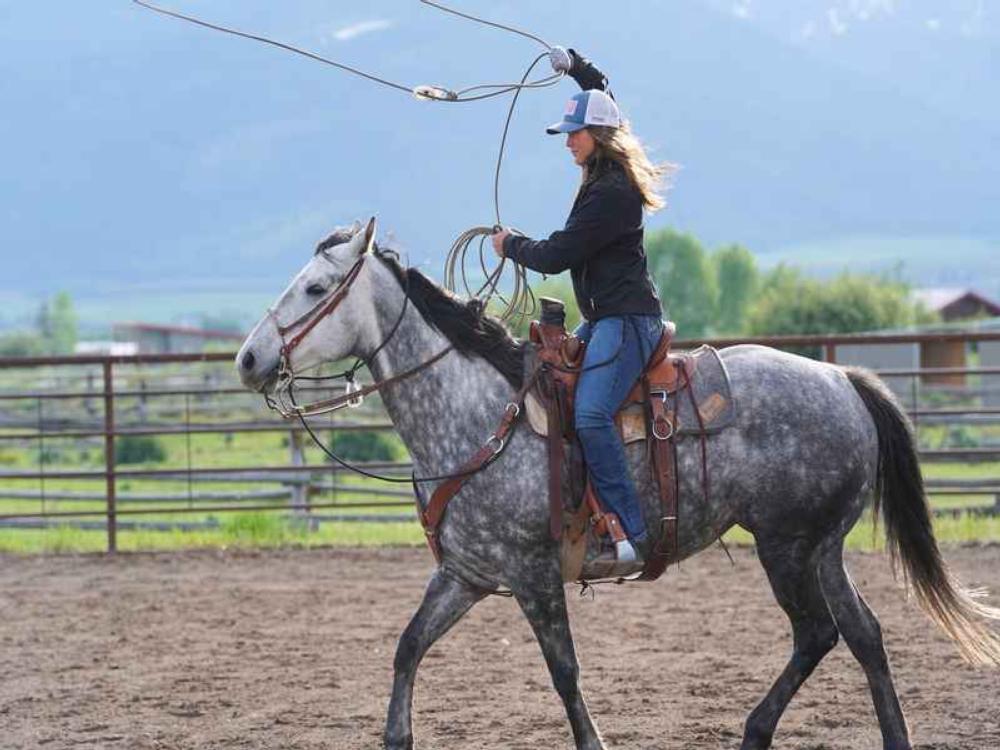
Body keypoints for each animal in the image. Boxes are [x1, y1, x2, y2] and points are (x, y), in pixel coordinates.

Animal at [236, 222, 1000, 750]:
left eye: (315, 288)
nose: (248, 358)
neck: (477, 412)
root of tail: (843, 377)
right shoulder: (467, 574)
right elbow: (407, 646)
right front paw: (397, 735)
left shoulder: (534, 577)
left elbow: (564, 672)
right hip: (822, 548)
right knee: (862, 633)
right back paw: (884, 736)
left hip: (786, 545)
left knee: (818, 633)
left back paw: (755, 730)